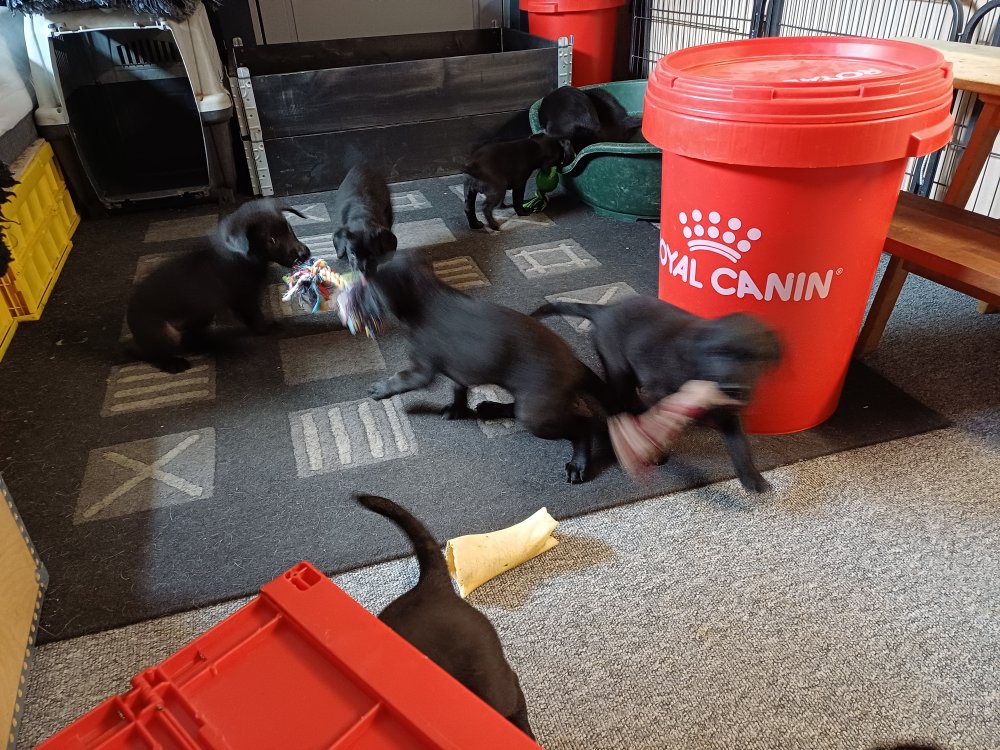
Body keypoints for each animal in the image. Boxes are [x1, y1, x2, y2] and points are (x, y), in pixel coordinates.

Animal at [126, 198, 309, 373]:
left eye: (289, 229)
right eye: (272, 240)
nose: (303, 255)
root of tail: (130, 314)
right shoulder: (243, 298)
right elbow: (255, 317)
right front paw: (266, 329)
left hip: (201, 315)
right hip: (163, 331)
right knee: (154, 352)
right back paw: (173, 362)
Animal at [360, 249, 609, 483]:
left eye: (369, 290)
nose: (363, 310)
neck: (428, 294)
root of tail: (574, 364)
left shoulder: (421, 371)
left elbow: (400, 379)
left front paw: (381, 389)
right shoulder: (458, 371)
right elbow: (458, 390)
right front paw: (457, 409)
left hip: (536, 413)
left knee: (582, 426)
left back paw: (577, 463)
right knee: (517, 407)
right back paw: (492, 408)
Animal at [532, 296, 781, 491]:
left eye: (757, 357)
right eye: (717, 352)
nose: (736, 388)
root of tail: (605, 309)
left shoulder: (727, 410)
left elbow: (739, 444)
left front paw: (752, 477)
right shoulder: (658, 392)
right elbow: (659, 423)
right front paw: (656, 451)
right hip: (618, 367)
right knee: (622, 397)